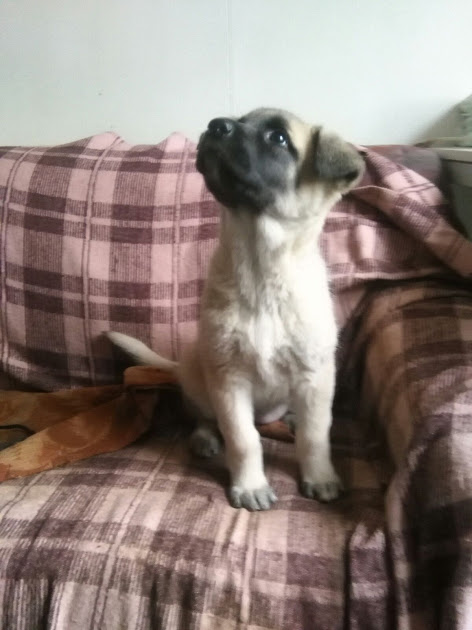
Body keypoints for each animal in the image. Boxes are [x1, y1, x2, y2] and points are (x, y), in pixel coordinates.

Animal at [107, 108, 364, 511]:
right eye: (241, 118)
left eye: (278, 138)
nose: (215, 125)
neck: (263, 271)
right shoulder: (229, 380)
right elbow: (243, 439)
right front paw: (250, 486)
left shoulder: (314, 376)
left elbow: (315, 436)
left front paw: (320, 476)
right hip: (200, 376)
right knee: (202, 417)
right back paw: (205, 439)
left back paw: (291, 419)